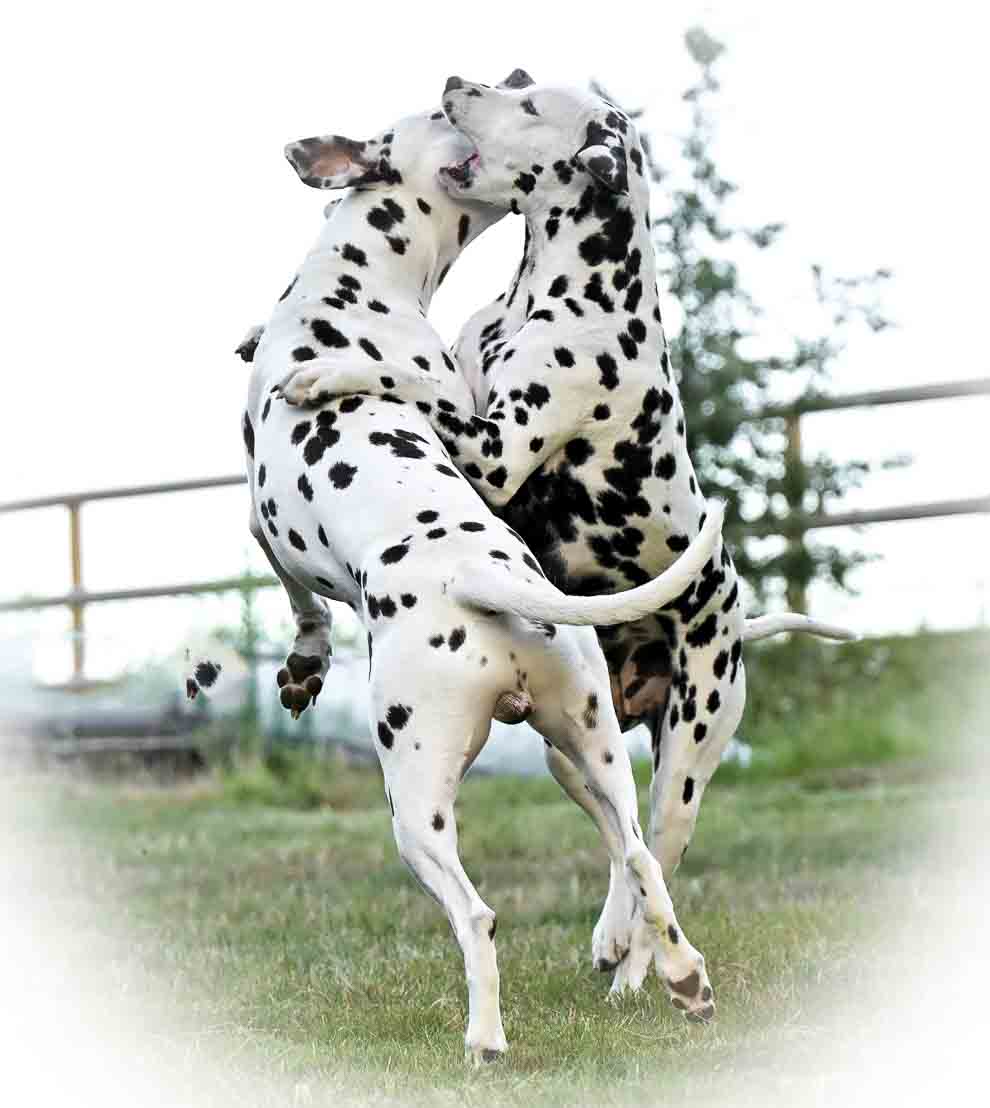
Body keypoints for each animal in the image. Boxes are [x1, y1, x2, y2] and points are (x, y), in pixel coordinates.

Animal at [246, 101, 726, 1054]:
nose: (464, 83)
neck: (360, 284)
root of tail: (480, 577)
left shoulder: (267, 518)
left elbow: (299, 598)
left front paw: (303, 667)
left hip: (422, 805)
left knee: (478, 914)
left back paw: (487, 1038)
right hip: (593, 757)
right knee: (637, 861)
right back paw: (676, 974)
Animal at [274, 75, 854, 997]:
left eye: (528, 103)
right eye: (517, 81)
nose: (458, 82)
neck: (551, 295)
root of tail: (731, 616)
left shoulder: (494, 449)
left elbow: (399, 377)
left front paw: (331, 366)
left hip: (688, 759)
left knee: (660, 850)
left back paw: (639, 971)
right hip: (571, 752)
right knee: (624, 845)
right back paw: (614, 935)